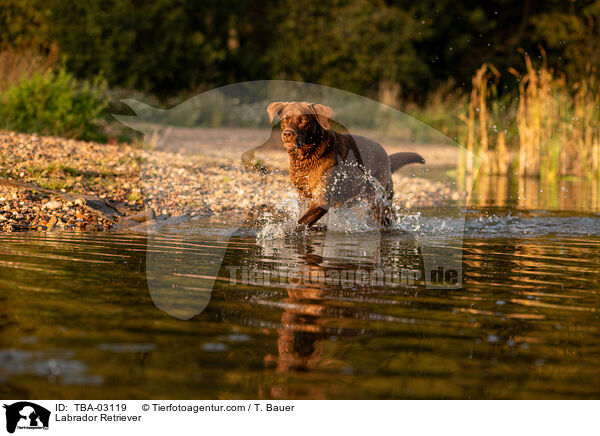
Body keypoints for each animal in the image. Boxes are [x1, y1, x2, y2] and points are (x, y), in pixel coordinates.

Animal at [264, 101, 424, 228]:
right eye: (284, 119)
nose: (287, 134)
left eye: (303, 120)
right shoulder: (303, 196)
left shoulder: (321, 200)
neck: (307, 156)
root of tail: (387, 156)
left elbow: (300, 222)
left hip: (378, 200)